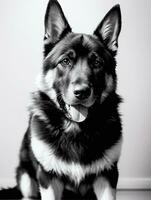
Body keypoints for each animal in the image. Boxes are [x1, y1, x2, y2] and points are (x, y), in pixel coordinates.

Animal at [0, 0, 122, 199]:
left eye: (97, 63)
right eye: (65, 61)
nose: (82, 92)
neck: (76, 129)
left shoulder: (107, 177)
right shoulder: (48, 179)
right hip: (27, 180)